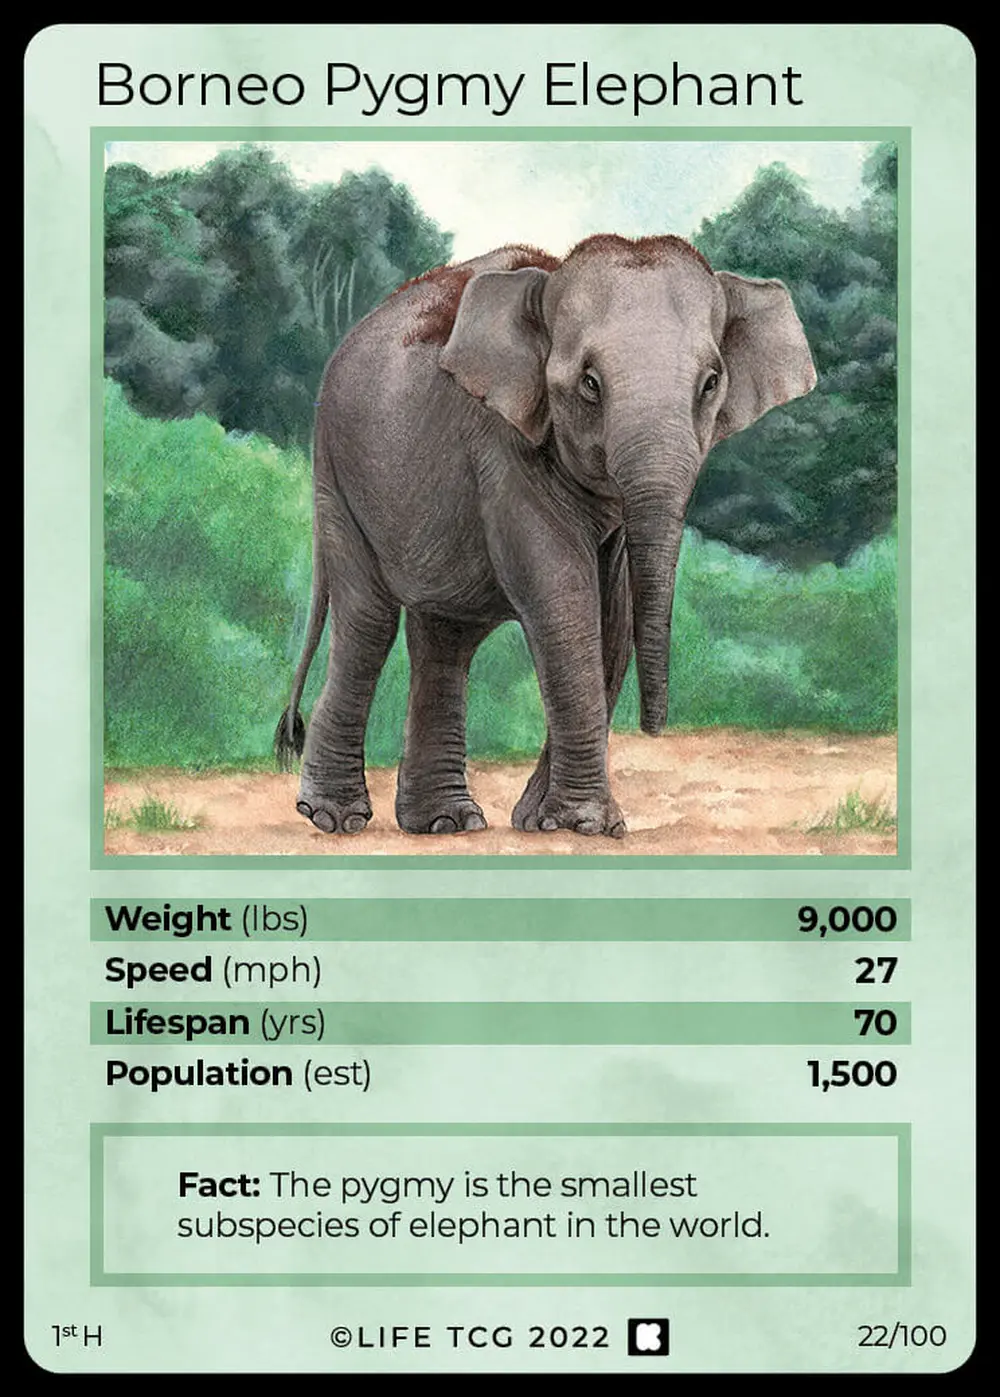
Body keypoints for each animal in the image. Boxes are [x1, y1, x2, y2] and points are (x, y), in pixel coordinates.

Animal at [276, 234, 816, 837]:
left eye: (711, 383)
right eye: (589, 383)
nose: (654, 728)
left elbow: (612, 614)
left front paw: (548, 822)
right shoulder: (502, 445)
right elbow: (564, 598)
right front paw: (586, 825)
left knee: (444, 636)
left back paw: (445, 823)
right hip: (339, 474)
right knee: (368, 621)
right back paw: (334, 818)